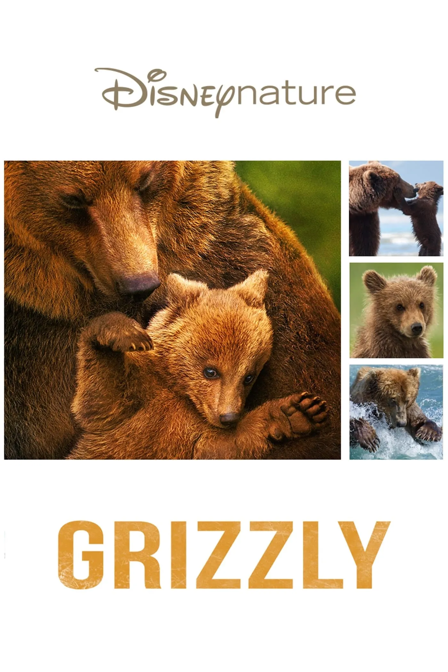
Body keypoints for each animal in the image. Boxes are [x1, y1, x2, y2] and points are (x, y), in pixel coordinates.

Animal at [67, 271, 328, 460]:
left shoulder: (193, 433)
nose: (228, 416)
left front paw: (298, 412)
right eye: (210, 371)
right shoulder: (135, 401)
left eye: (249, 376)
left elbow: (223, 445)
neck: (180, 393)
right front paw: (126, 334)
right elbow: (100, 397)